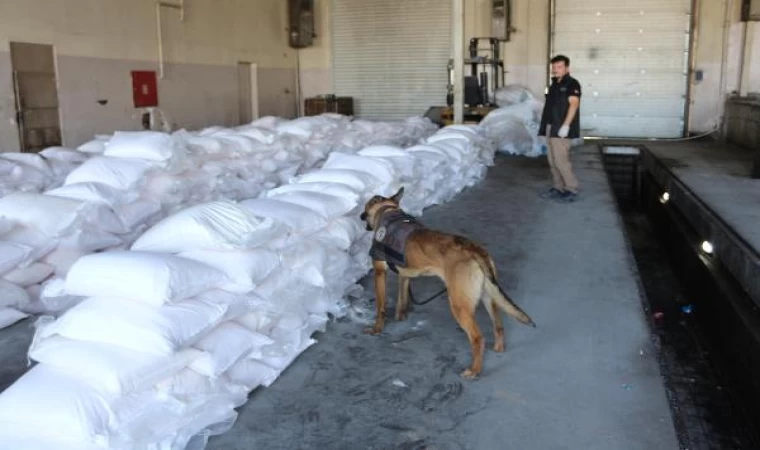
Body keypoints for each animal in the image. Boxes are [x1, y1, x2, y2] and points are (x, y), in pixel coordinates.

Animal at [360, 187, 535, 380]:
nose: (362, 218)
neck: (388, 211)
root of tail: (474, 250)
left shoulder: (379, 273)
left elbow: (381, 307)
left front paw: (377, 329)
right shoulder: (404, 275)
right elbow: (401, 299)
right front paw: (401, 316)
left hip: (459, 305)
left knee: (477, 338)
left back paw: (474, 370)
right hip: (488, 297)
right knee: (499, 325)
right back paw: (498, 347)